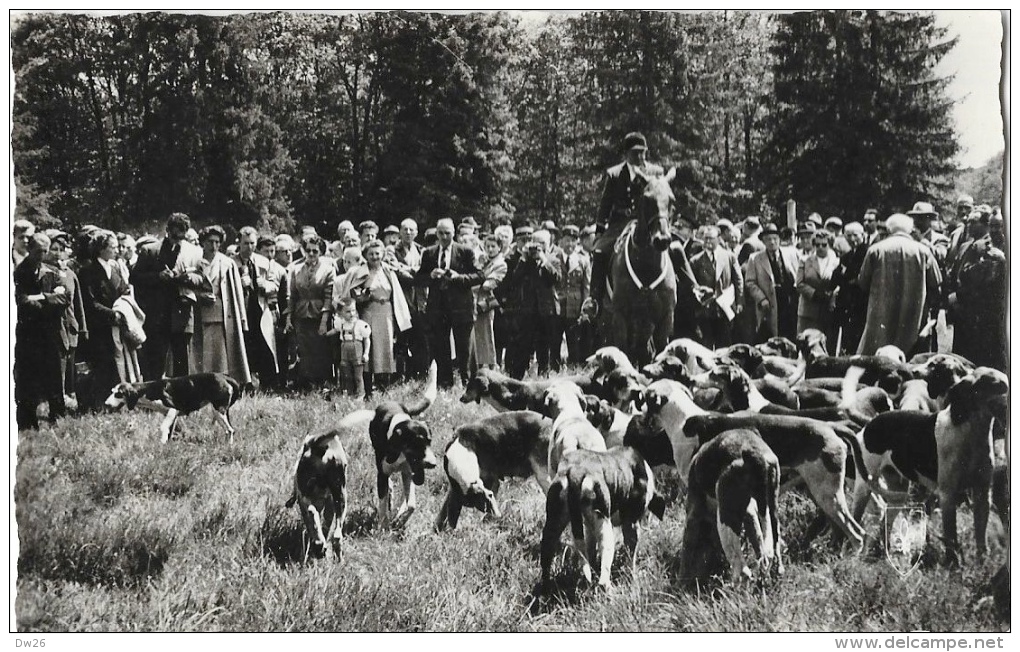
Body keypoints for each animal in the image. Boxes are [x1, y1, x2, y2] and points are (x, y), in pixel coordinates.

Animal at [603, 168, 677, 365]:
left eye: (672, 200)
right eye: (647, 199)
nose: (662, 239)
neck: (647, 269)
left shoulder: (665, 317)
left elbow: (661, 349)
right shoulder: (620, 317)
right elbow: (622, 351)